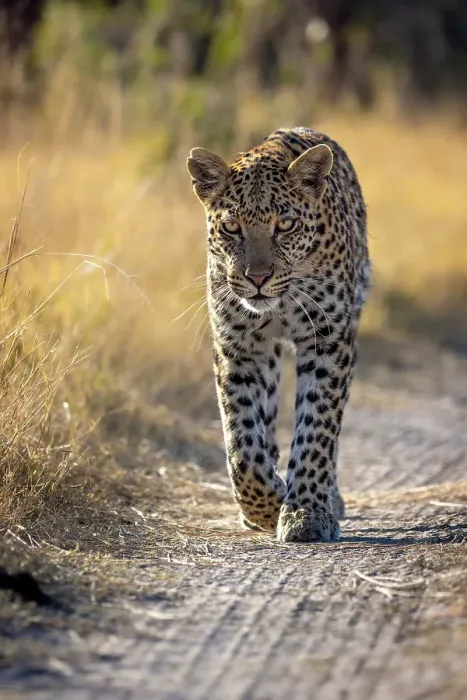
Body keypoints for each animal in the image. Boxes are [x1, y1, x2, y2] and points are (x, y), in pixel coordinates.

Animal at [187, 127, 370, 543]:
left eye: (285, 225)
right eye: (231, 227)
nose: (257, 278)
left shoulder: (328, 340)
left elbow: (317, 429)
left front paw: (306, 513)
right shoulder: (238, 346)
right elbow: (241, 444)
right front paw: (267, 507)